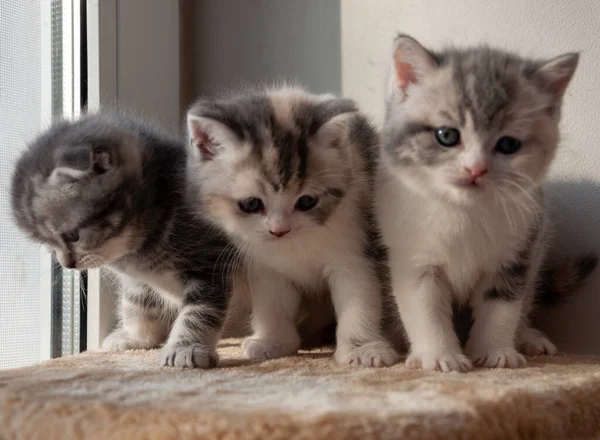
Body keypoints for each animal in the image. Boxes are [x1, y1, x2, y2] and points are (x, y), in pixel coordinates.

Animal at [11, 113, 244, 368]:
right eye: (47, 245)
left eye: (72, 236)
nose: (67, 264)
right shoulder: (139, 281)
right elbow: (138, 302)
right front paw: (136, 338)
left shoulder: (210, 260)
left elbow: (200, 310)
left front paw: (187, 347)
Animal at [183, 87, 398, 368]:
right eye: (251, 204)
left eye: (306, 201)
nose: (279, 230)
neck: (295, 244)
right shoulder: (264, 263)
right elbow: (272, 302)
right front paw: (274, 343)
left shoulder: (356, 251)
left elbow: (359, 300)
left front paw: (362, 349)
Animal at [380, 33, 596, 372]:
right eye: (446, 135)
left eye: (508, 144)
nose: (476, 169)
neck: (464, 212)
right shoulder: (413, 257)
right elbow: (426, 308)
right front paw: (440, 355)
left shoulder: (518, 252)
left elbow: (503, 307)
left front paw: (495, 352)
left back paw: (529, 337)